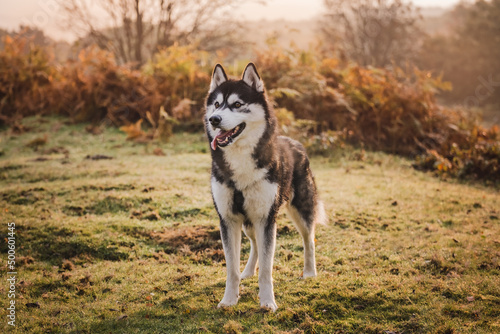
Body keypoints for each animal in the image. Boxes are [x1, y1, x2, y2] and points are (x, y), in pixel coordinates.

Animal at [205, 63, 326, 314]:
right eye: (217, 104)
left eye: (237, 104)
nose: (214, 119)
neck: (241, 160)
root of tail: (295, 142)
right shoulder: (229, 220)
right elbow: (231, 268)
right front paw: (229, 299)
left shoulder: (267, 220)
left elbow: (268, 268)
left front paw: (268, 302)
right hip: (248, 223)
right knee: (254, 245)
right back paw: (248, 271)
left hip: (300, 210)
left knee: (309, 239)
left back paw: (310, 272)